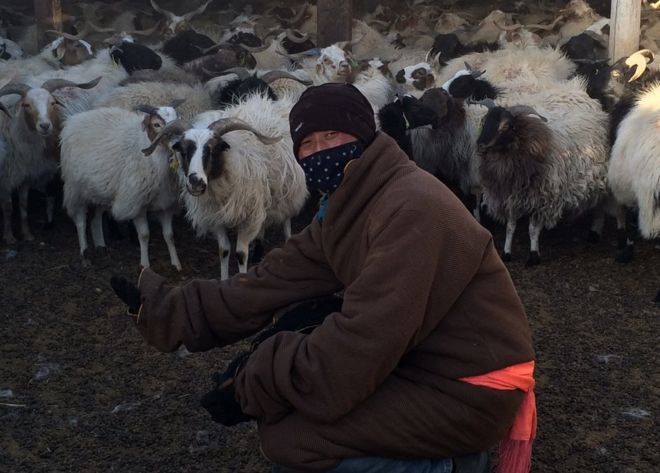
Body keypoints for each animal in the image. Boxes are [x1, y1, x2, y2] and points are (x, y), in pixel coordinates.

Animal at [0, 76, 100, 243]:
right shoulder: (6, 179)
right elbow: (8, 207)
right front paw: (9, 237)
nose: (45, 125)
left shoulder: (25, 176)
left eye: (52, 102)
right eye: (26, 105)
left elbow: (23, 205)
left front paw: (27, 234)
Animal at [59, 100, 184, 270]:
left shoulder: (166, 204)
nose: (178, 143)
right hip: (75, 189)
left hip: (100, 189)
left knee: (96, 219)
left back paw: (101, 246)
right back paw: (85, 254)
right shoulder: (136, 203)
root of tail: (75, 119)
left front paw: (176, 263)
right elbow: (144, 235)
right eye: (156, 124)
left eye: (177, 118)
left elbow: (169, 236)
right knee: (80, 221)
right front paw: (145, 265)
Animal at [143, 90, 308, 278]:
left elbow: (240, 254)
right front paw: (224, 279)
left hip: (288, 190)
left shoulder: (248, 216)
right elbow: (224, 251)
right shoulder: (216, 218)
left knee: (286, 219)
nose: (195, 181)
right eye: (184, 152)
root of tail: (278, 103)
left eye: (213, 150)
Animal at [474, 92, 608, 266]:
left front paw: (533, 255)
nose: (480, 145)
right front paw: (506, 252)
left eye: (506, 126)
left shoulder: (541, 199)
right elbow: (510, 226)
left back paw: (595, 231)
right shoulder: (510, 197)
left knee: (601, 206)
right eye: (485, 120)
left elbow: (532, 229)